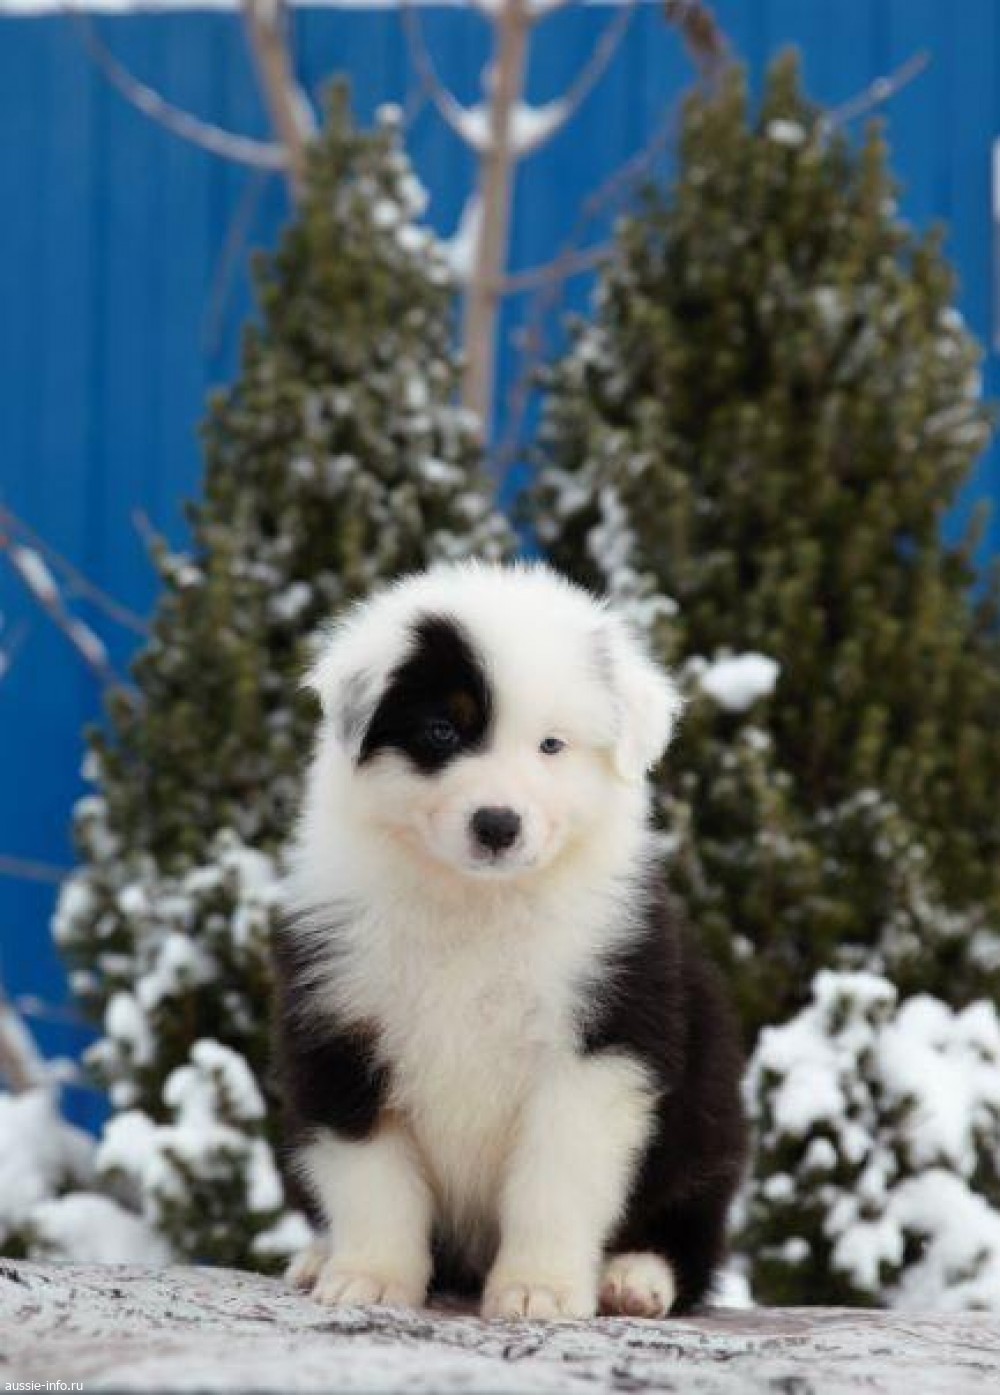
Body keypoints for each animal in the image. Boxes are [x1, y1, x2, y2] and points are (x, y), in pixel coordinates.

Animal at [274, 561, 746, 1319]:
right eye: (442, 731)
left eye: (551, 745)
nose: (497, 824)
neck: (478, 902)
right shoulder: (340, 1030)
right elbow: (373, 1173)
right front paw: (370, 1276)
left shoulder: (598, 1043)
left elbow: (554, 1180)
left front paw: (538, 1289)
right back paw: (318, 1256)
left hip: (706, 1120)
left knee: (690, 1230)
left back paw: (634, 1278)